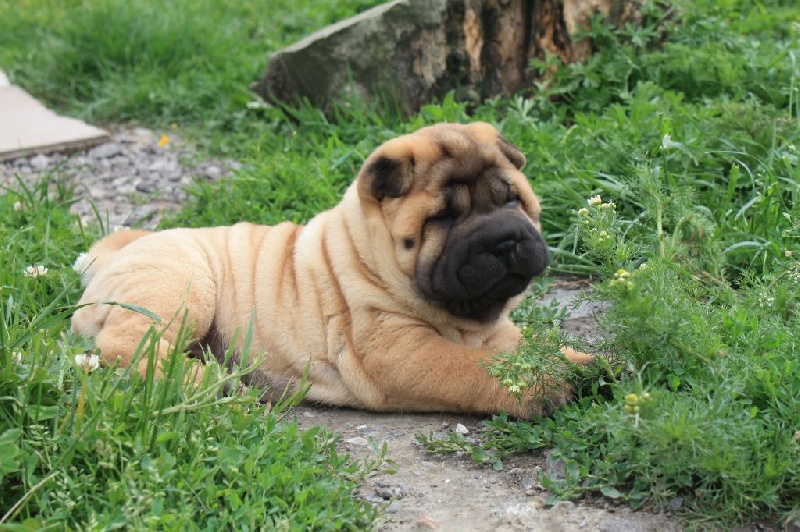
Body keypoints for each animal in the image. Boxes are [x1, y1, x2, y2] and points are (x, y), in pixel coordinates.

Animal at [71, 122, 593, 418]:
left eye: (511, 200)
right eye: (444, 218)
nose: (505, 239)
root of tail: (114, 252)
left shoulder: (496, 332)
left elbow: (533, 348)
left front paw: (588, 364)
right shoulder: (396, 348)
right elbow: (474, 368)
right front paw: (549, 385)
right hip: (182, 285)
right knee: (126, 347)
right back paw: (211, 384)